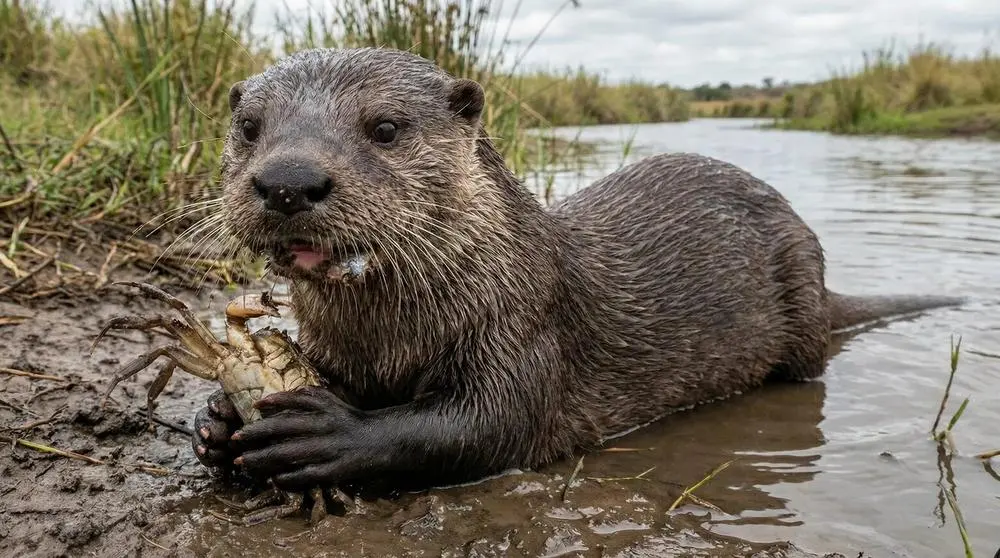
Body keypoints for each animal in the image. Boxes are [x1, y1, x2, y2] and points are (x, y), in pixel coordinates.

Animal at [191, 47, 961, 492]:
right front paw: (219, 423)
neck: (389, 338)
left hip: (798, 289)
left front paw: (329, 434)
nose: (288, 181)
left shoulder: (525, 325)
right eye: (250, 128)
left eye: (383, 128)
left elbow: (480, 428)